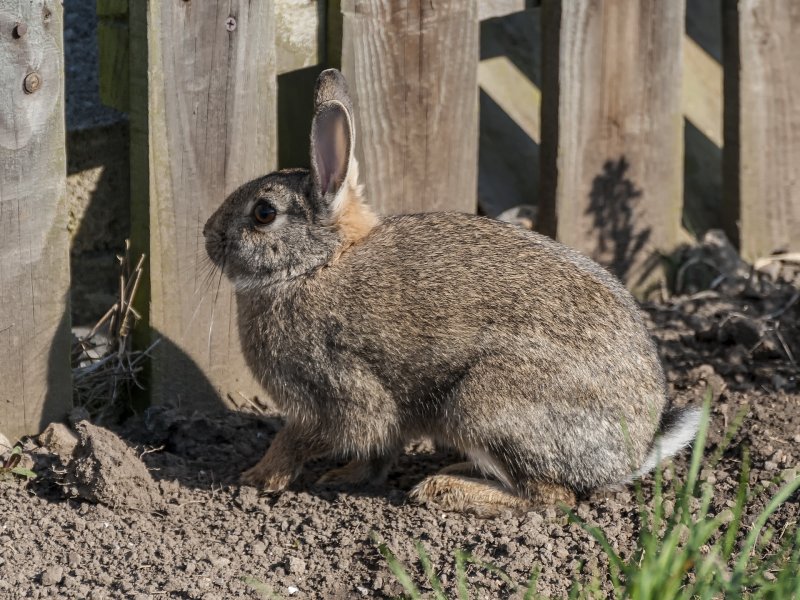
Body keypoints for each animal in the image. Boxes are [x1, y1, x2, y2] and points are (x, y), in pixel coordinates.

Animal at [206, 67, 700, 516]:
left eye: (264, 213)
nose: (209, 235)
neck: (314, 266)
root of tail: (633, 452)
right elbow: (376, 453)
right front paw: (342, 478)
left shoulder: (335, 389)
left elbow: (298, 438)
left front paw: (256, 479)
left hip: (484, 405)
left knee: (550, 497)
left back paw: (443, 489)